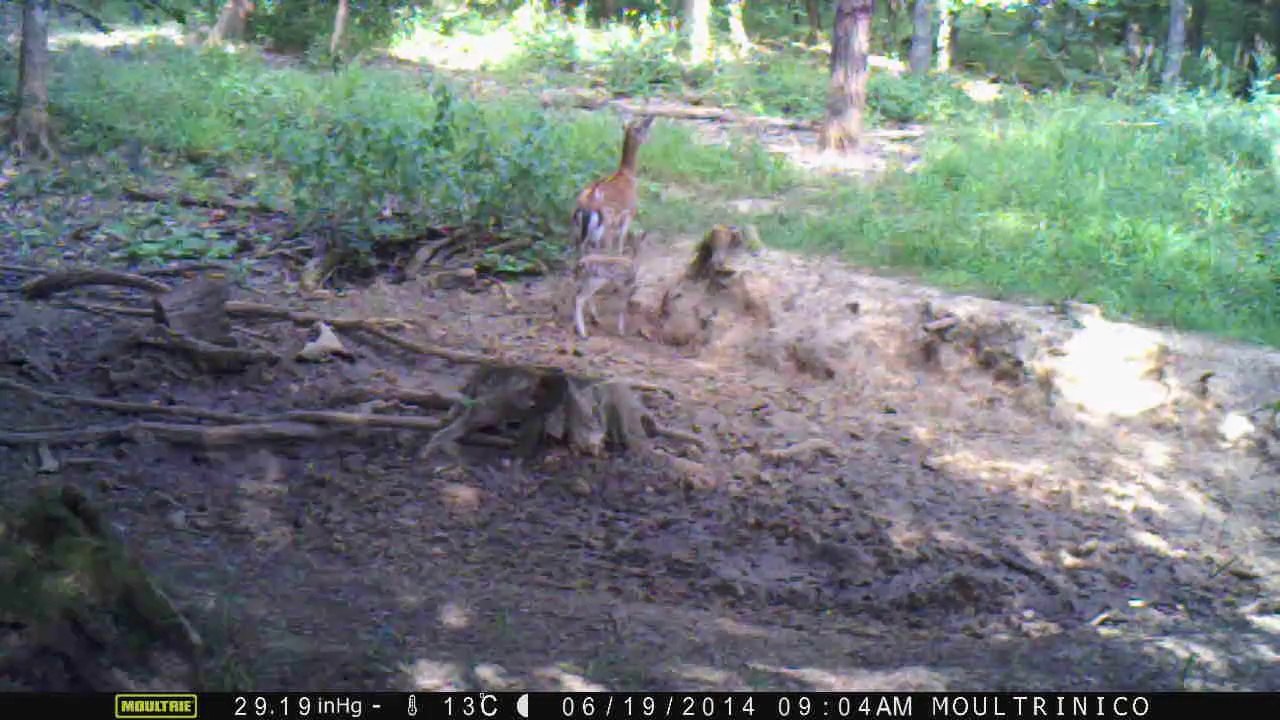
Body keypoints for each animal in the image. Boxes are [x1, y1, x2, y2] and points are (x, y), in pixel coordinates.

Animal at [571, 115, 656, 258]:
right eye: (643, 127)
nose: (648, 139)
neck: (627, 175)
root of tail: (586, 205)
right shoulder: (629, 213)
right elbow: (621, 242)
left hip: (579, 230)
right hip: (605, 226)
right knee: (605, 250)